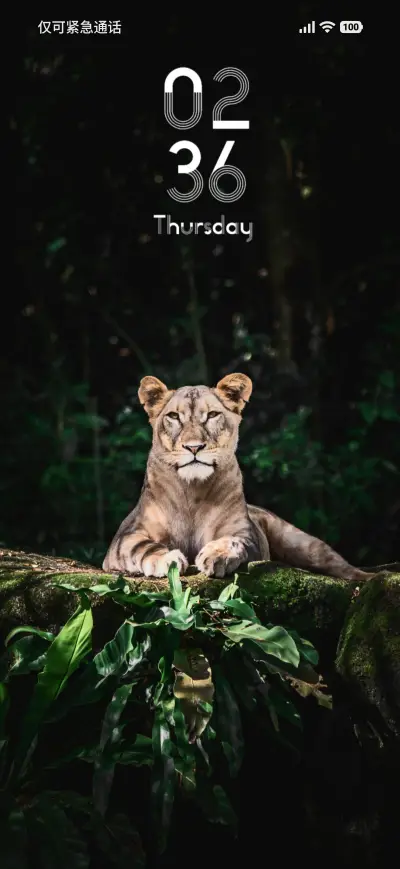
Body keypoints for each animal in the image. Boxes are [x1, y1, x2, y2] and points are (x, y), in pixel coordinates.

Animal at [103, 373, 374, 583]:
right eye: (174, 417)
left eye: (212, 415)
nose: (193, 447)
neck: (192, 491)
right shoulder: (125, 537)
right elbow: (142, 546)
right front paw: (167, 559)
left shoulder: (246, 535)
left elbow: (234, 542)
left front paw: (216, 555)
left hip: (304, 544)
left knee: (342, 566)